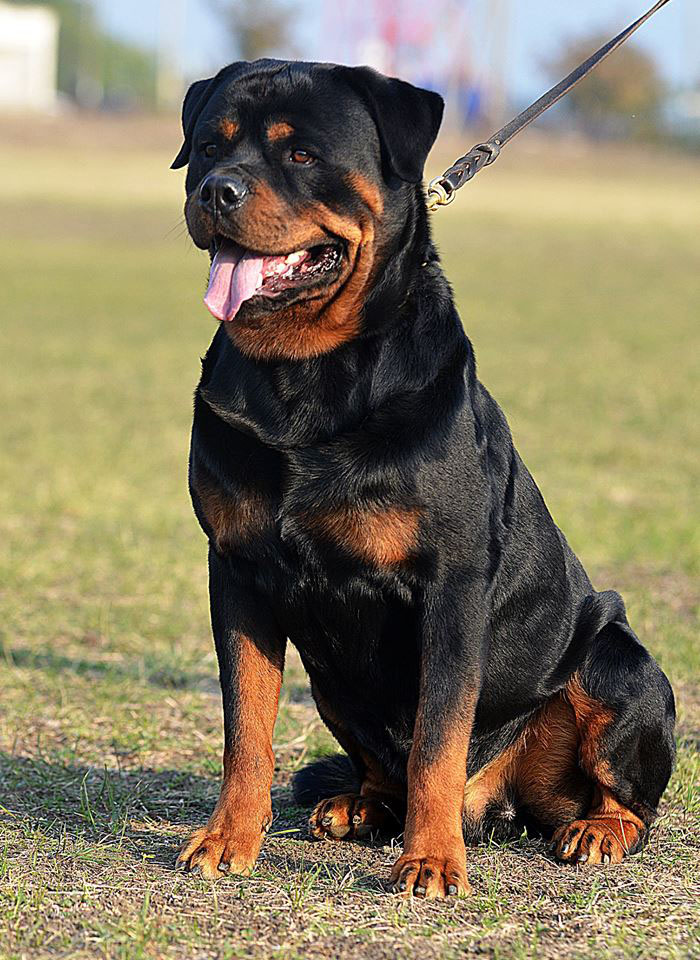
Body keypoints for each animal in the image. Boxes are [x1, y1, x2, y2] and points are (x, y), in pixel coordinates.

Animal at [172, 58, 676, 900]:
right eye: (210, 146)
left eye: (301, 154)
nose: (215, 190)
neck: (305, 380)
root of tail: (497, 800)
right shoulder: (236, 571)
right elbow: (246, 727)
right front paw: (228, 838)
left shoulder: (451, 583)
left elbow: (440, 731)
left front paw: (433, 859)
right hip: (333, 680)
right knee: (384, 765)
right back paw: (360, 805)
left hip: (617, 665)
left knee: (626, 794)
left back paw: (595, 829)